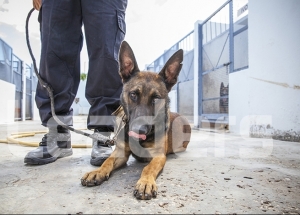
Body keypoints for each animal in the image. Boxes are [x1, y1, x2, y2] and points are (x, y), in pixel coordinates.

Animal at [81, 40, 191, 200]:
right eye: (133, 95)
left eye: (155, 99)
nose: (139, 130)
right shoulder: (120, 152)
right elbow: (108, 161)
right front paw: (98, 172)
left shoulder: (158, 156)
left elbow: (148, 168)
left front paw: (145, 182)